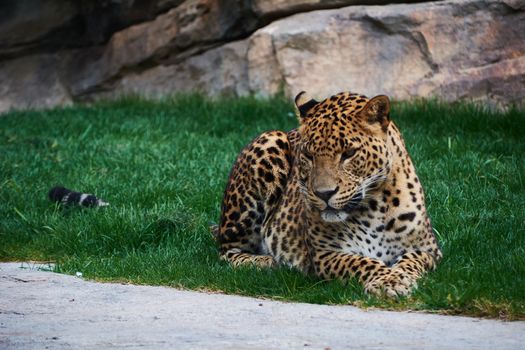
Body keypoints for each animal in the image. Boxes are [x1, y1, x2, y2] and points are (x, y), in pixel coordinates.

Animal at [211, 91, 440, 298]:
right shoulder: (325, 254)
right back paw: (266, 262)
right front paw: (387, 281)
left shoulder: (430, 251)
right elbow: (361, 262)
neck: (376, 205)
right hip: (269, 141)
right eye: (308, 155)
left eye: (349, 154)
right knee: (227, 251)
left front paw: (397, 278)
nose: (324, 194)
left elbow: (412, 260)